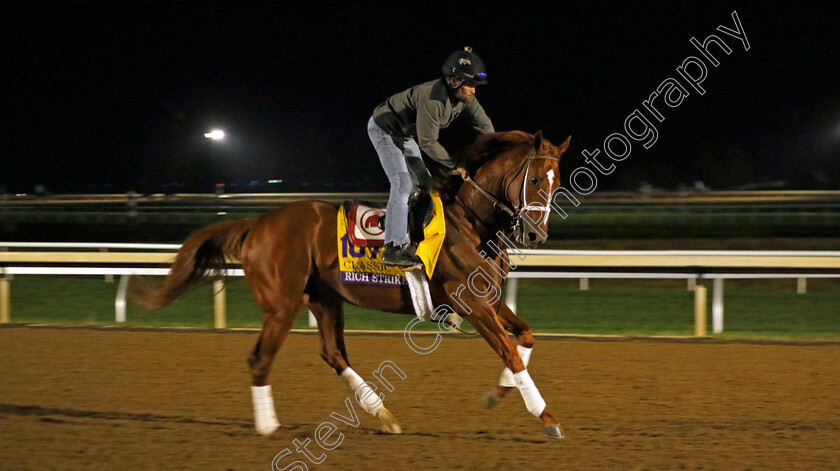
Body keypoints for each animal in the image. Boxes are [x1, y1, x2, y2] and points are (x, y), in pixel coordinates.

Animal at [133, 129, 572, 438]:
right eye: (536, 180)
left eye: (557, 181)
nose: (535, 235)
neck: (470, 220)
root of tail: (256, 223)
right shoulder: (473, 303)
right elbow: (511, 354)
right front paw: (547, 417)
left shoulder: (489, 299)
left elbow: (526, 337)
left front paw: (499, 394)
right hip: (282, 304)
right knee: (260, 359)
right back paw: (269, 426)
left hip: (324, 298)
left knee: (333, 352)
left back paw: (383, 413)